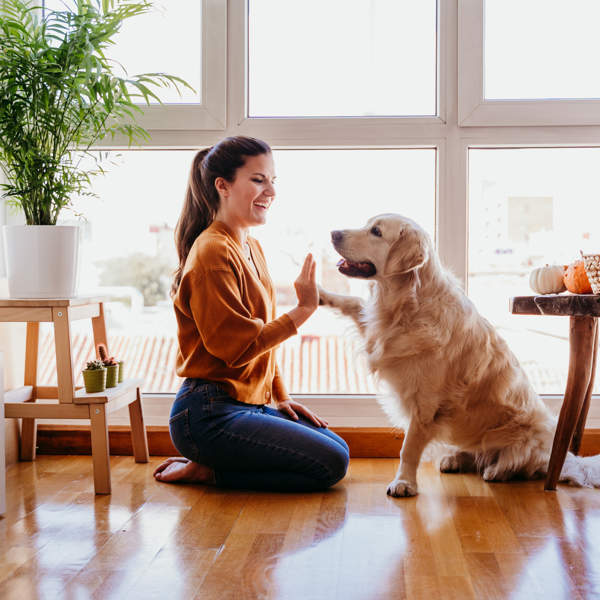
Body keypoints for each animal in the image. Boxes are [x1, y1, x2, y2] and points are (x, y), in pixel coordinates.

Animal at [318, 213, 600, 494]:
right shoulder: (377, 332)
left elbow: (408, 449)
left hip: (527, 436)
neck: (407, 304)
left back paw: (497, 471)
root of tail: (568, 459)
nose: (332, 233)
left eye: (376, 232)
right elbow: (353, 303)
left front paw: (404, 482)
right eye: (367, 225)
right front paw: (319, 293)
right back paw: (455, 459)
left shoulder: (425, 405)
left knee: (520, 463)